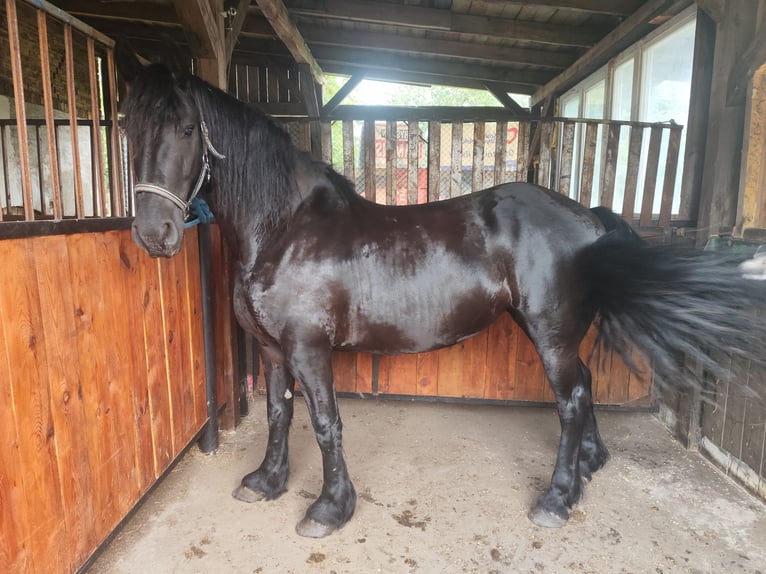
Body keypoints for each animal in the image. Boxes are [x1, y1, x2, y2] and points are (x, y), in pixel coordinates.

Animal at [116, 47, 766, 538]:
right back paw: (588, 468)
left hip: (550, 333)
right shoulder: (275, 351)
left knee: (572, 399)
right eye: (126, 127)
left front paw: (329, 509)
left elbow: (325, 422)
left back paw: (557, 499)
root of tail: (588, 217)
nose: (154, 234)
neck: (284, 229)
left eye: (187, 128)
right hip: (548, 330)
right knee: (583, 386)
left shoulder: (308, 349)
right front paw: (267, 483)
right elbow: (279, 414)